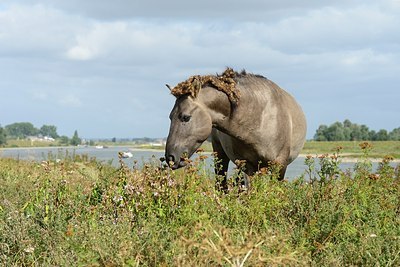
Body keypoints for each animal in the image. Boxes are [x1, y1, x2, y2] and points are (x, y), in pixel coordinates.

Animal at [164, 68, 308, 192]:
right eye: (170, 117)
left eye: (185, 117)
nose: (170, 157)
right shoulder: (249, 166)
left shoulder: (279, 166)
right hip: (221, 154)